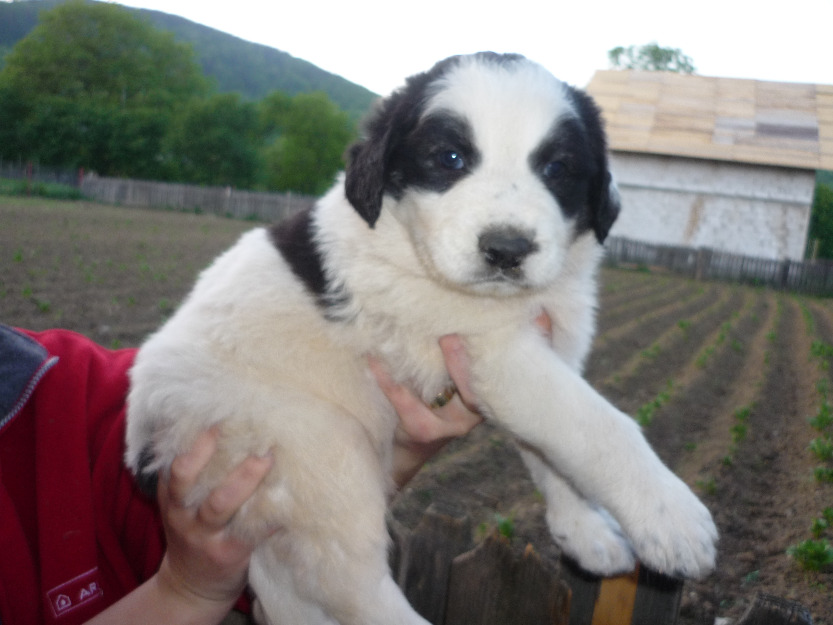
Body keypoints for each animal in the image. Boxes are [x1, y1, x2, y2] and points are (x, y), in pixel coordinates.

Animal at [127, 54, 720, 624]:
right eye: (449, 158)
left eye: (558, 168)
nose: (507, 249)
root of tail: (144, 444)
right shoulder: (496, 353)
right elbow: (600, 426)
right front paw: (673, 519)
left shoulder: (542, 355)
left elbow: (551, 449)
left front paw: (586, 532)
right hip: (312, 443)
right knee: (354, 587)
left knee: (297, 591)